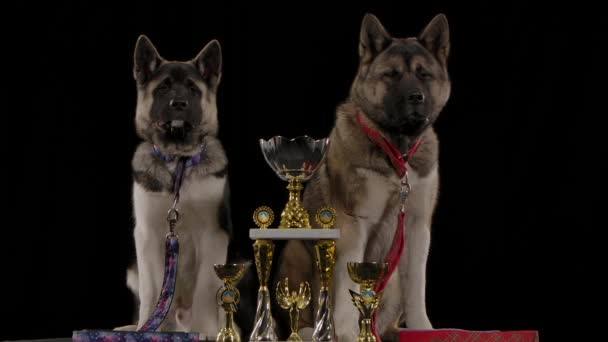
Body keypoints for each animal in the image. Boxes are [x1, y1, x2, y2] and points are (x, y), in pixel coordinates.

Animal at [126, 34, 233, 336]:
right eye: (163, 88)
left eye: (193, 90)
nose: (179, 103)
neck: (177, 161)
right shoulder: (148, 235)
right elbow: (152, 291)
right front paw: (146, 327)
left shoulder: (213, 236)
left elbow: (205, 289)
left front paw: (206, 331)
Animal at [276, 12, 452, 340]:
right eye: (392, 75)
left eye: (423, 74)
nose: (416, 97)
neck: (397, 151)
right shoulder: (353, 223)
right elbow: (347, 284)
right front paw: (345, 331)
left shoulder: (417, 226)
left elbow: (416, 286)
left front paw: (423, 328)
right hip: (297, 254)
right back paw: (310, 331)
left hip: (391, 280)